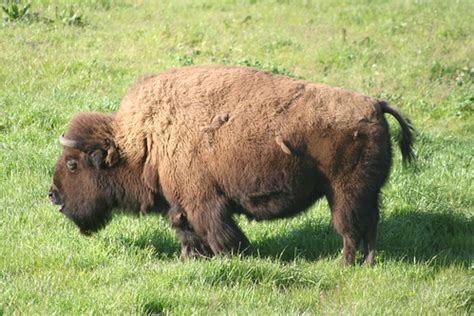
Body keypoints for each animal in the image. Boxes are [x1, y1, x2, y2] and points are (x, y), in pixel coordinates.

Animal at [47, 65, 412, 266]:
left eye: (73, 164)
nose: (52, 195)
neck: (146, 141)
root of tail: (374, 104)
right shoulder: (181, 203)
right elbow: (186, 231)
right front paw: (188, 260)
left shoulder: (203, 201)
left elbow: (215, 232)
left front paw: (233, 255)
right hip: (366, 193)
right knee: (369, 228)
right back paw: (366, 264)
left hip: (345, 193)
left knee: (350, 229)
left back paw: (344, 265)